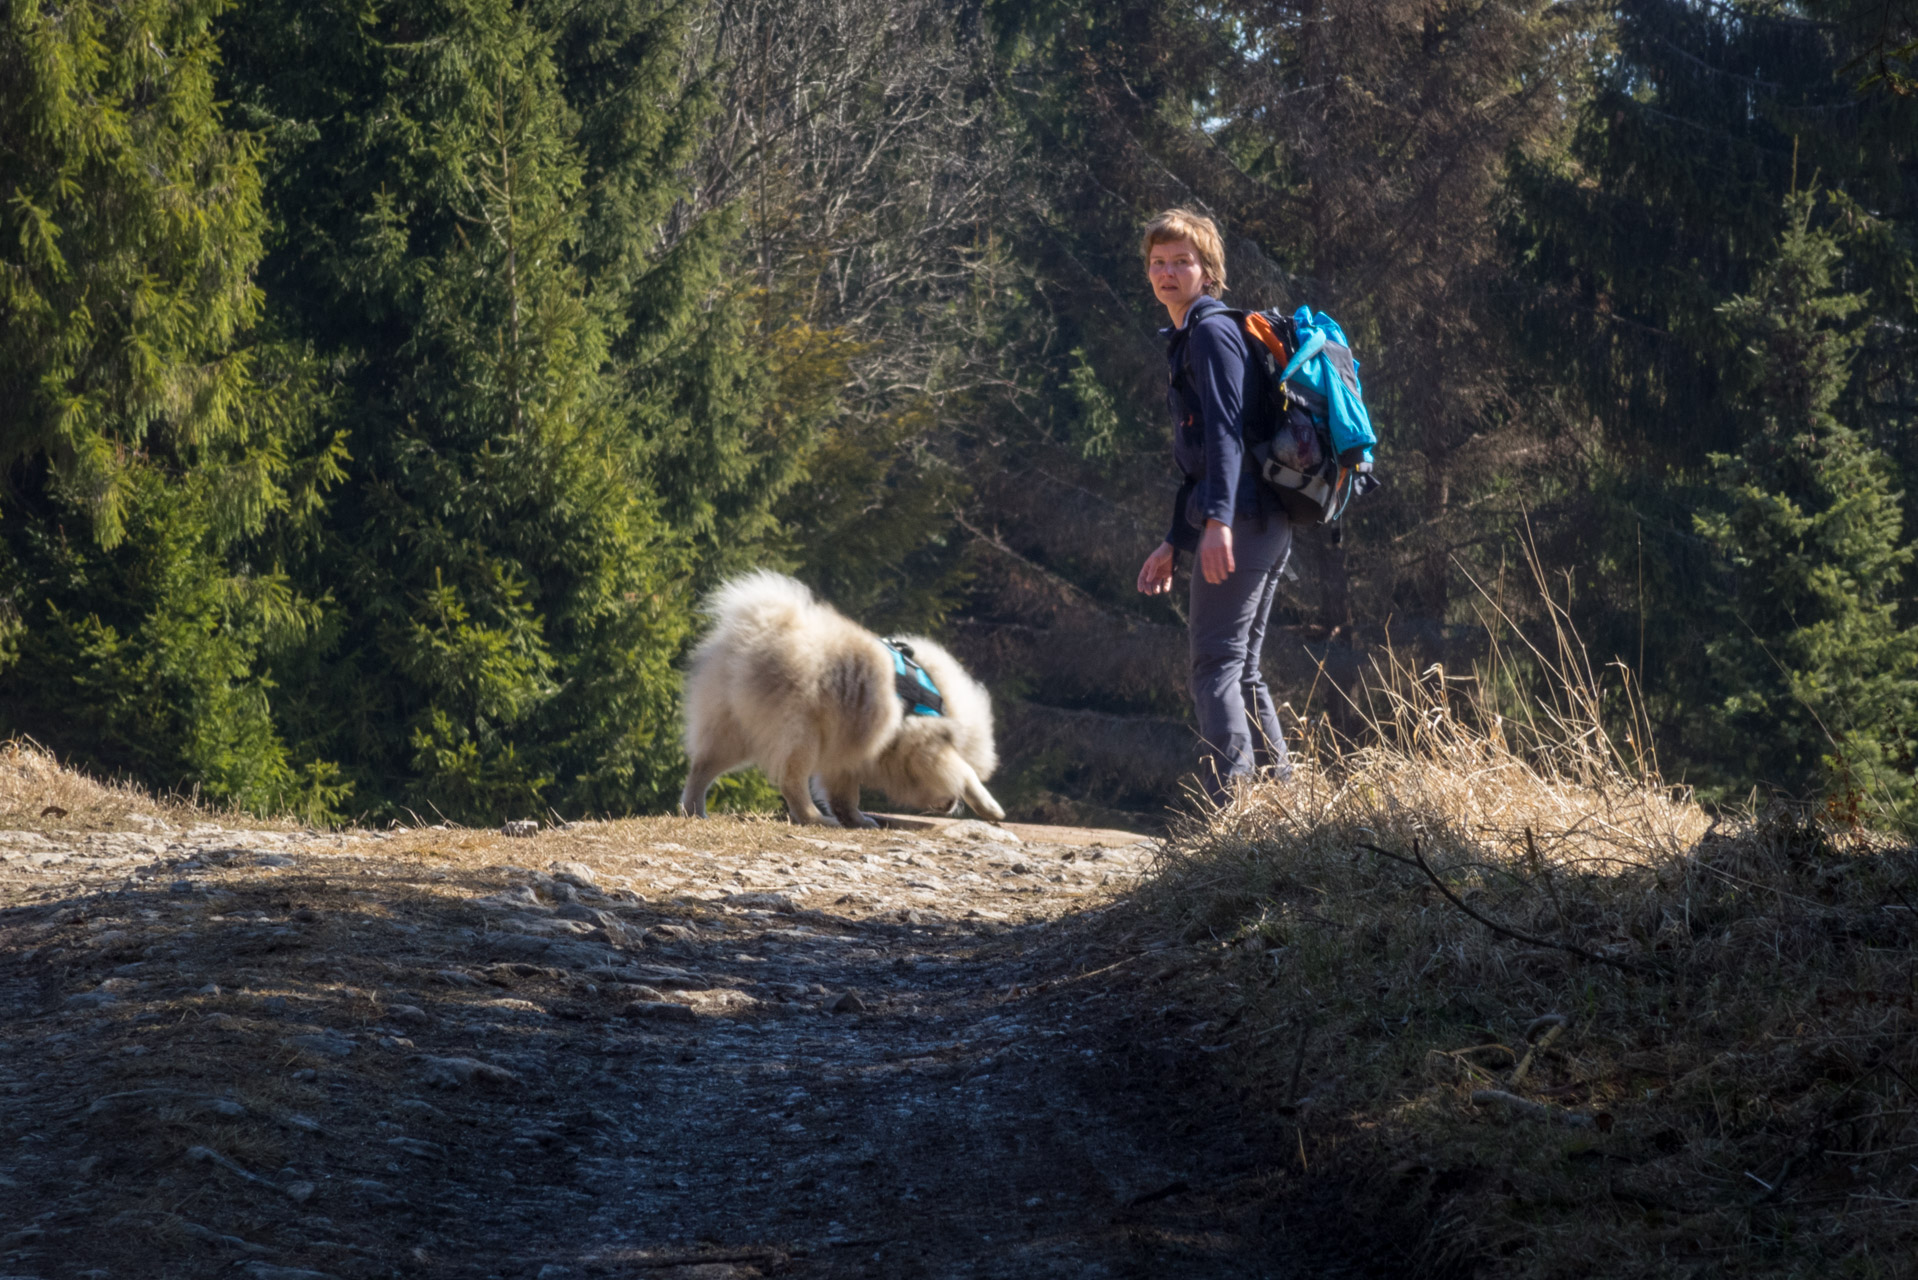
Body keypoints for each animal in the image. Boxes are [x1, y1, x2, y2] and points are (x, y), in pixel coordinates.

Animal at [678, 571, 1005, 832]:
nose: (951, 805)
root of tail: (757, 632)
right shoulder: (921, 743)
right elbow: (965, 772)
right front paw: (989, 806)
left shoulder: (850, 752)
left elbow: (845, 796)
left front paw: (857, 820)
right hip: (801, 734)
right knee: (791, 781)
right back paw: (813, 818)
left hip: (731, 730)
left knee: (701, 769)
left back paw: (694, 809)